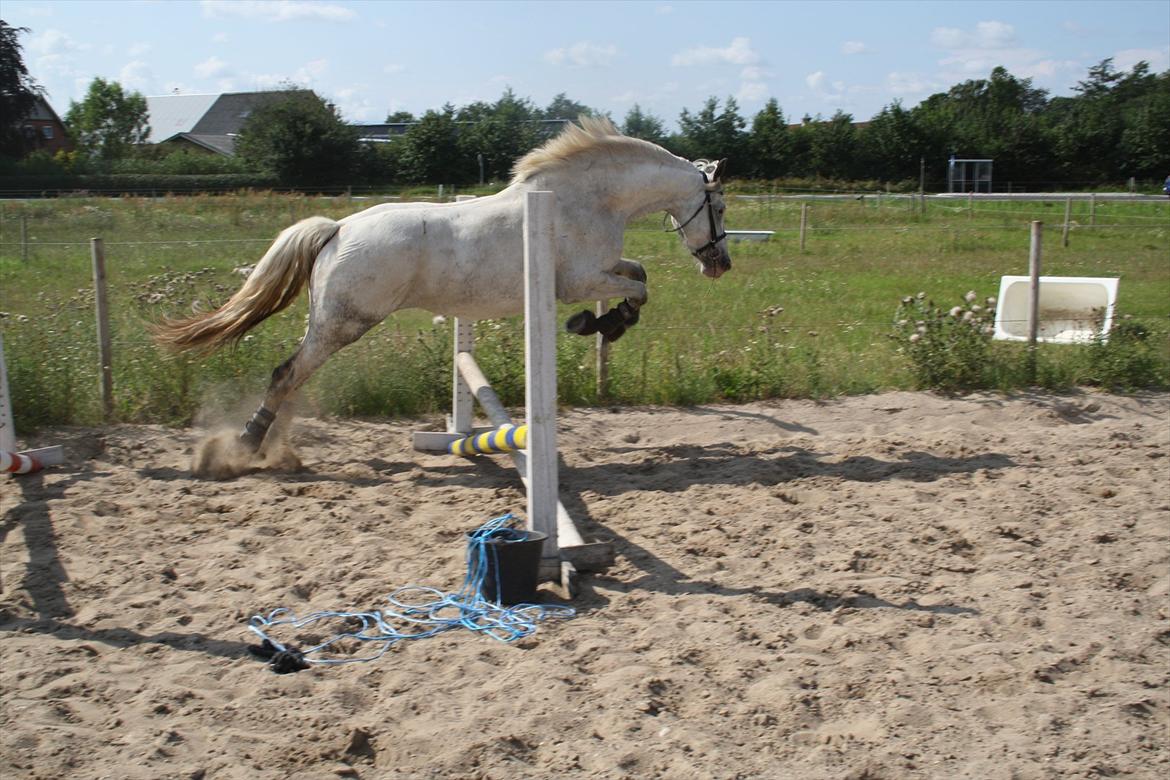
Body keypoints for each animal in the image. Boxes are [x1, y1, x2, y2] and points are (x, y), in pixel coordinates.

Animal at [150, 117, 725, 470]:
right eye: (718, 207)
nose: (720, 265)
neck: (588, 198)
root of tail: (338, 228)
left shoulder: (602, 270)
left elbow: (639, 274)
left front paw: (603, 323)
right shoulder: (580, 280)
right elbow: (637, 288)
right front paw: (597, 324)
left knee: (291, 376)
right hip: (344, 322)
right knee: (287, 373)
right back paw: (247, 445)